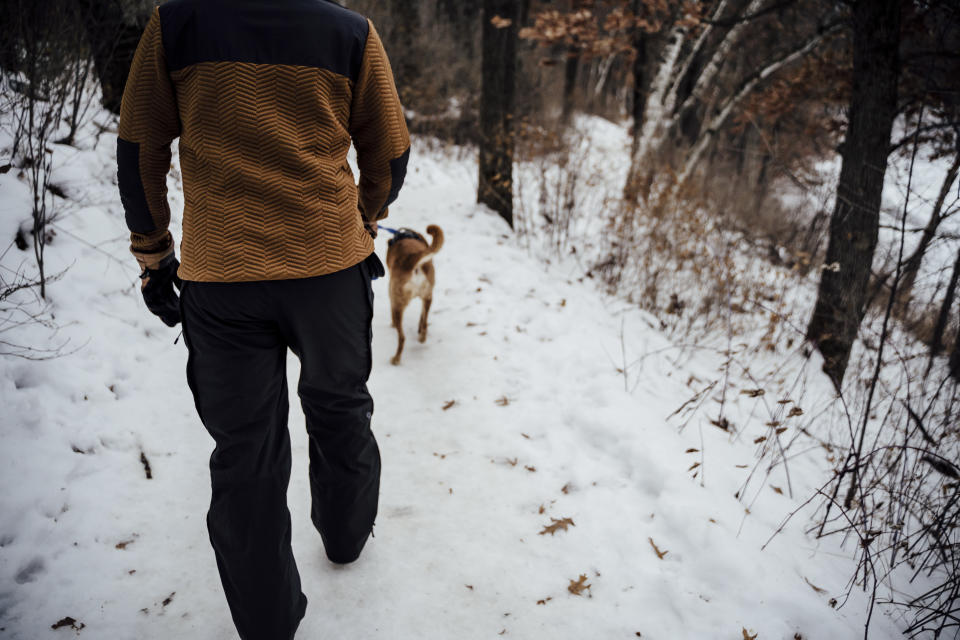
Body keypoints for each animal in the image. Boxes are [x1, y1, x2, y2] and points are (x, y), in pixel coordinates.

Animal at [384, 225, 444, 364]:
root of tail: (411, 260)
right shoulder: (426, 298)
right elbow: (422, 317)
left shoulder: (392, 297)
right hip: (428, 297)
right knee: (425, 322)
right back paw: (422, 337)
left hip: (397, 305)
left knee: (402, 337)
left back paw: (396, 359)